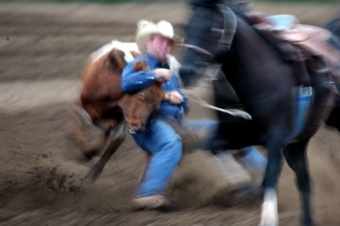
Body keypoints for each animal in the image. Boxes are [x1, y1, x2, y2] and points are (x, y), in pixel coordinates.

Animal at [179, 0, 340, 225]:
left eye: (214, 28)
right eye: (186, 26)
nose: (186, 72)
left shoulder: (276, 139)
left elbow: (269, 176)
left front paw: (267, 218)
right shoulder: (236, 133)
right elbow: (213, 147)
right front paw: (239, 185)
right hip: (297, 143)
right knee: (304, 180)